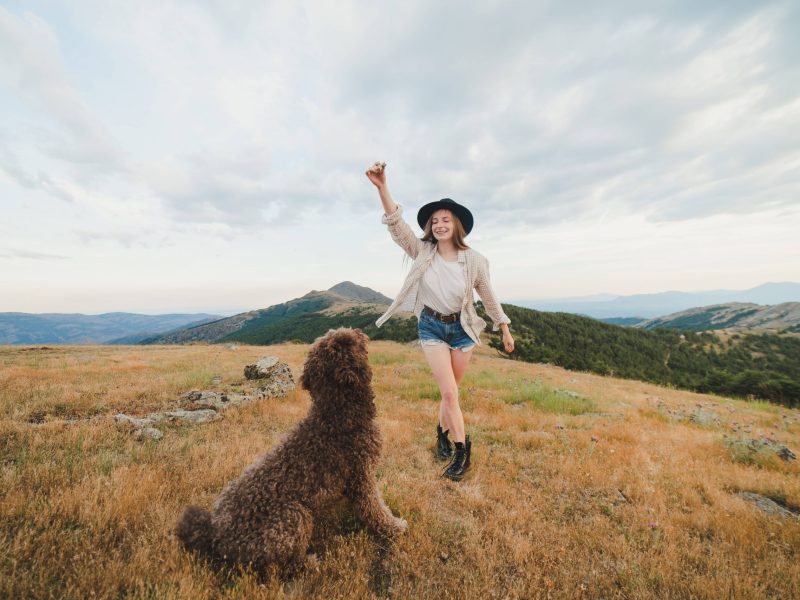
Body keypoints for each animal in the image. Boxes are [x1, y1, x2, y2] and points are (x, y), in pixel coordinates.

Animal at [175, 330, 406, 568]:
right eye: (345, 342)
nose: (357, 333)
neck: (336, 417)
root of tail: (214, 535)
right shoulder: (362, 477)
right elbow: (375, 509)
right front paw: (394, 527)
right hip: (294, 516)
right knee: (285, 564)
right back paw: (312, 562)